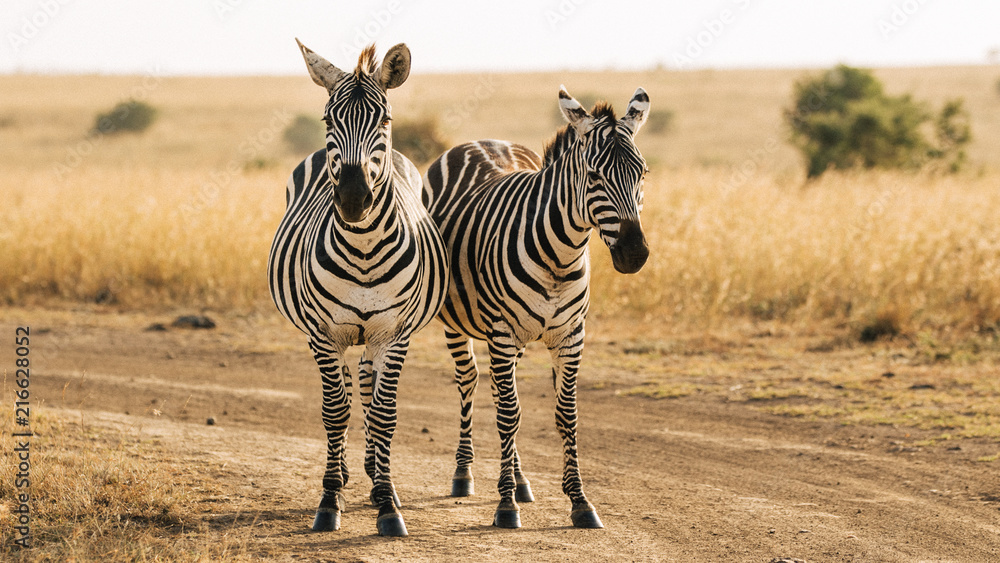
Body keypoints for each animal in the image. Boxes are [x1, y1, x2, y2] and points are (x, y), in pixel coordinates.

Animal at [268, 39, 448, 537]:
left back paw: (374, 473)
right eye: (328, 119)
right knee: (348, 390)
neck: (365, 250)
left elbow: (384, 414)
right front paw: (330, 499)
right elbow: (334, 411)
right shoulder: (323, 333)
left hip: (373, 336)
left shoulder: (394, 333)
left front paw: (387, 502)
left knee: (366, 385)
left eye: (384, 119)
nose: (353, 199)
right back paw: (350, 474)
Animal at [422, 86, 651, 529]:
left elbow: (565, 414)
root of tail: (480, 140)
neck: (560, 257)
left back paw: (521, 481)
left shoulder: (571, 336)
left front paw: (579, 501)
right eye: (595, 176)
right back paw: (465, 474)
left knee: (500, 392)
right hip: (460, 324)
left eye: (643, 174)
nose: (635, 254)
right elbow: (509, 415)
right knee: (472, 383)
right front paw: (505, 505)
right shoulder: (501, 331)